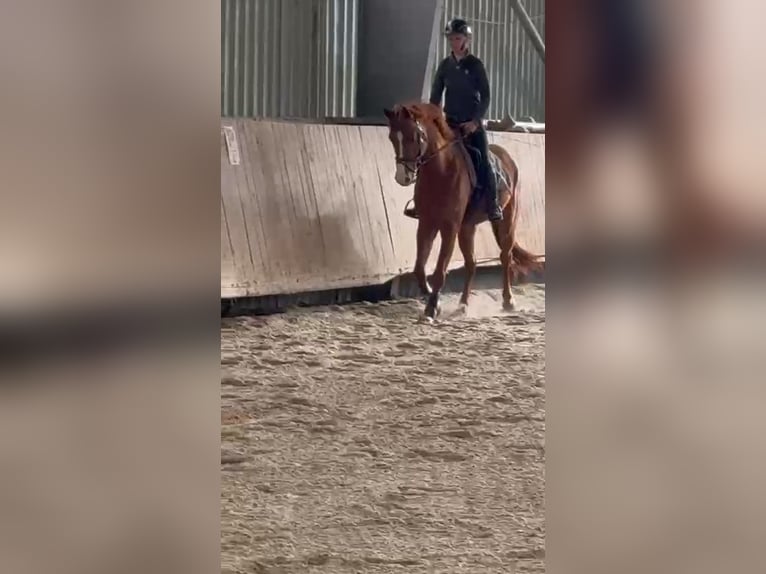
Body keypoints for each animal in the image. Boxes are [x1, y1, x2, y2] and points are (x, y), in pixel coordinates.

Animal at [382, 102, 540, 320]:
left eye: (413, 136)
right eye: (391, 137)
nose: (402, 177)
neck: (440, 172)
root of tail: (505, 156)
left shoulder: (449, 227)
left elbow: (440, 270)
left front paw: (432, 308)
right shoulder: (426, 224)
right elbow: (419, 269)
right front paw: (432, 297)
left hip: (507, 221)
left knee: (505, 257)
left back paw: (508, 301)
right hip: (467, 227)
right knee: (471, 263)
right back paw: (463, 304)